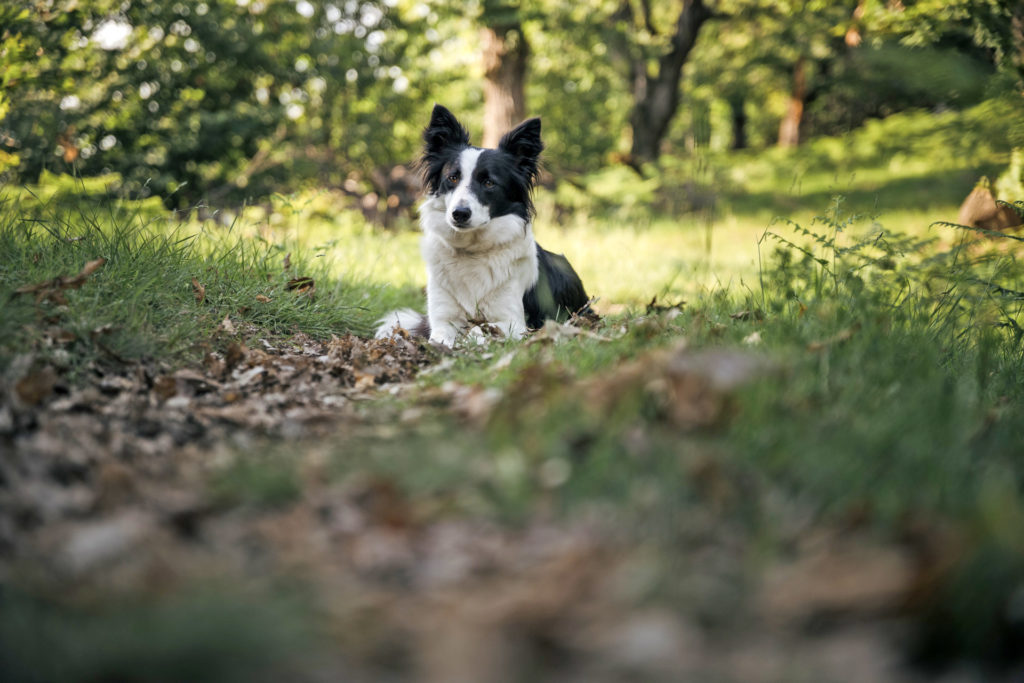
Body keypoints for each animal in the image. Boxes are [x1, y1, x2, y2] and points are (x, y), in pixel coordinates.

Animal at [376, 104, 593, 348]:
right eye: (452, 178)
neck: (472, 251)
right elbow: (441, 335)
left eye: (489, 183)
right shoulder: (442, 319)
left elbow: (478, 329)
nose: (459, 214)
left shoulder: (514, 322)